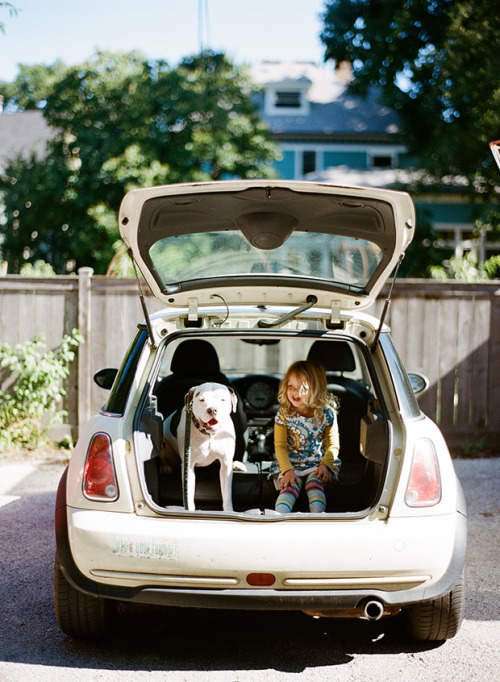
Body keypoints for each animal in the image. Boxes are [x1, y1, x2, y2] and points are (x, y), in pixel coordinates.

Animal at [161, 382, 237, 510]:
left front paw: (229, 511)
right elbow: (188, 493)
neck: (209, 435)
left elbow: (227, 494)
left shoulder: (226, 463)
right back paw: (165, 467)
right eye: (201, 400)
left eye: (222, 399)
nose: (212, 410)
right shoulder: (188, 465)